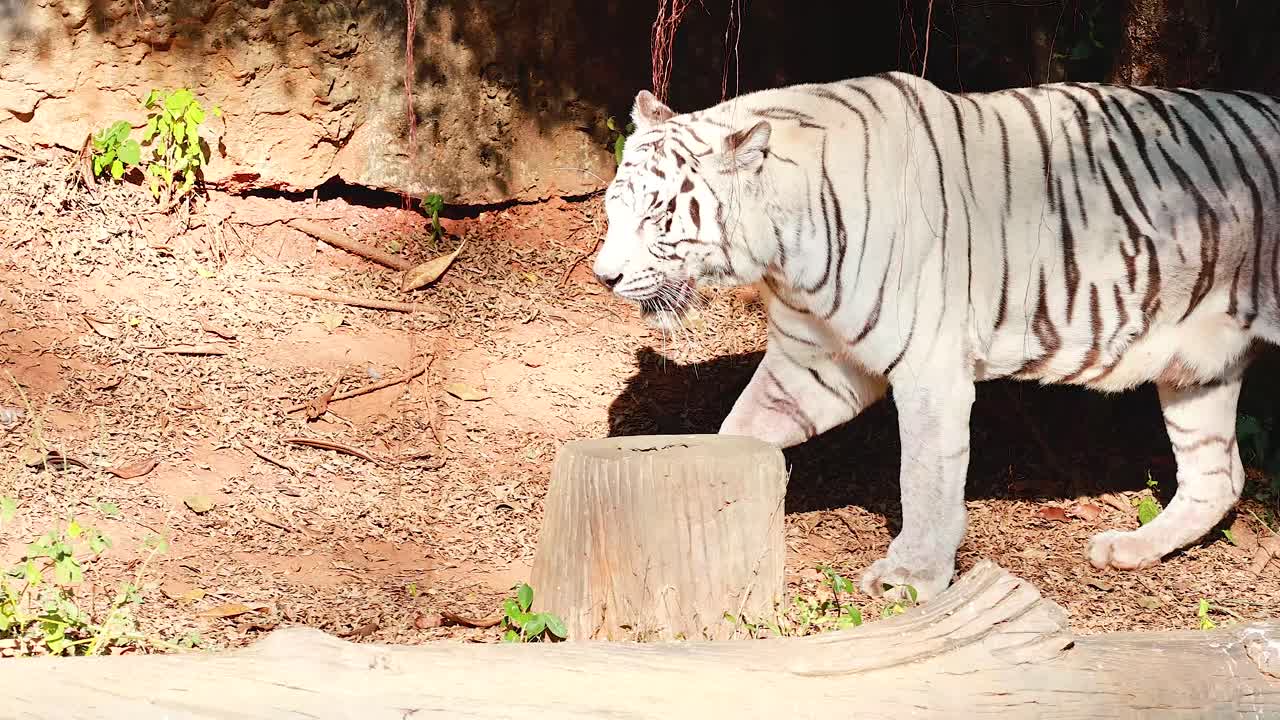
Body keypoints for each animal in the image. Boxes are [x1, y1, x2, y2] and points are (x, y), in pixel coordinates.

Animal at [591, 70, 1280, 602]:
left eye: (657, 216)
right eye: (612, 208)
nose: (605, 276)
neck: (784, 253)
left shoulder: (928, 370)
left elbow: (924, 475)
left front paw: (911, 577)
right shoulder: (814, 363)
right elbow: (741, 430)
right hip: (1199, 369)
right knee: (1219, 476)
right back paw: (1131, 549)